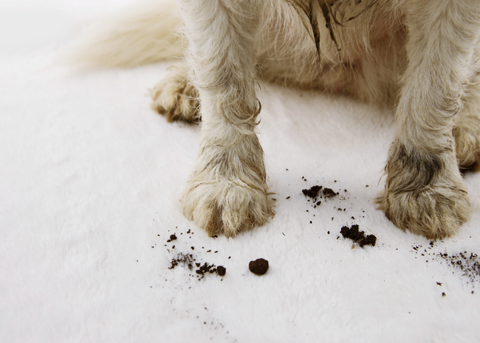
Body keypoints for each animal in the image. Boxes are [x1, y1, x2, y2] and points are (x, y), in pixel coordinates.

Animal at [69, 0, 480, 241]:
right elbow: (222, 74)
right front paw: (226, 183)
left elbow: (436, 83)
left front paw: (427, 189)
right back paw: (185, 84)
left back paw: (467, 129)